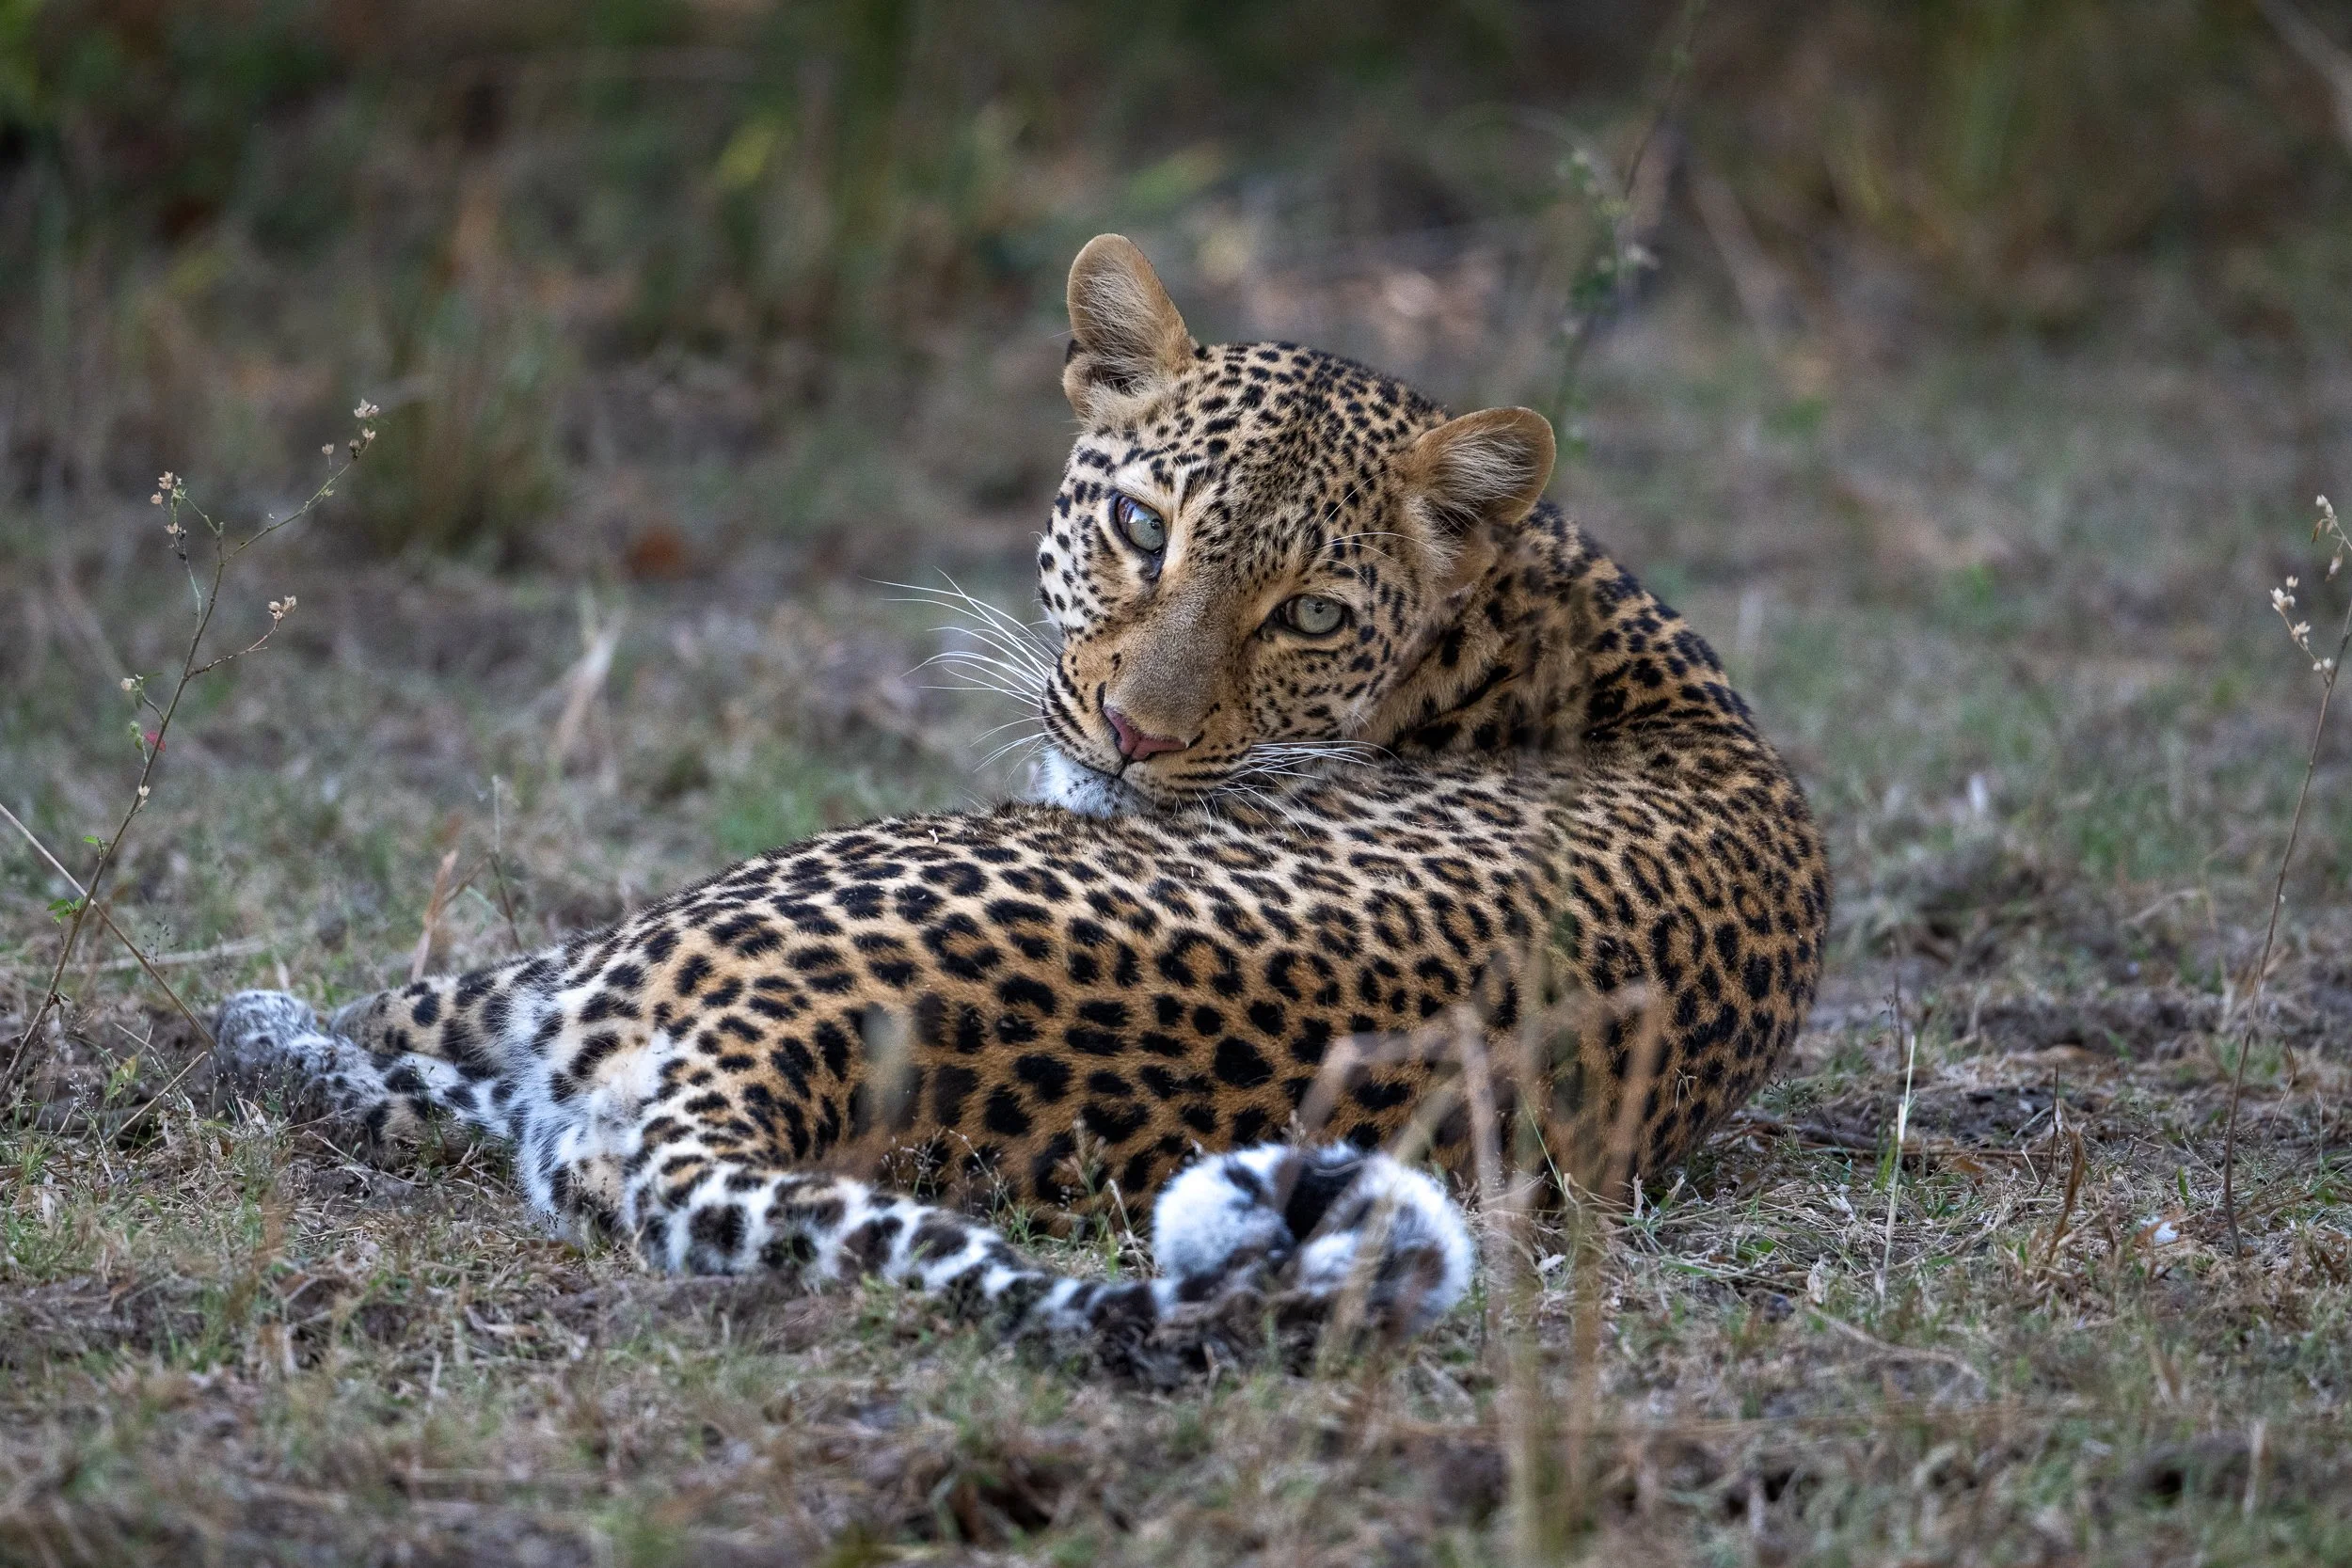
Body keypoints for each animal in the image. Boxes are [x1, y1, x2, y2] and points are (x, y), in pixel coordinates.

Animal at [213, 235, 1828, 1358]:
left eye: (1308, 614)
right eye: (1138, 526)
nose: (1132, 733)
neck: (1524, 610)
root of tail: (790, 1053)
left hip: (619, 952)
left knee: (383, 1042)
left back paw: (256, 1026)